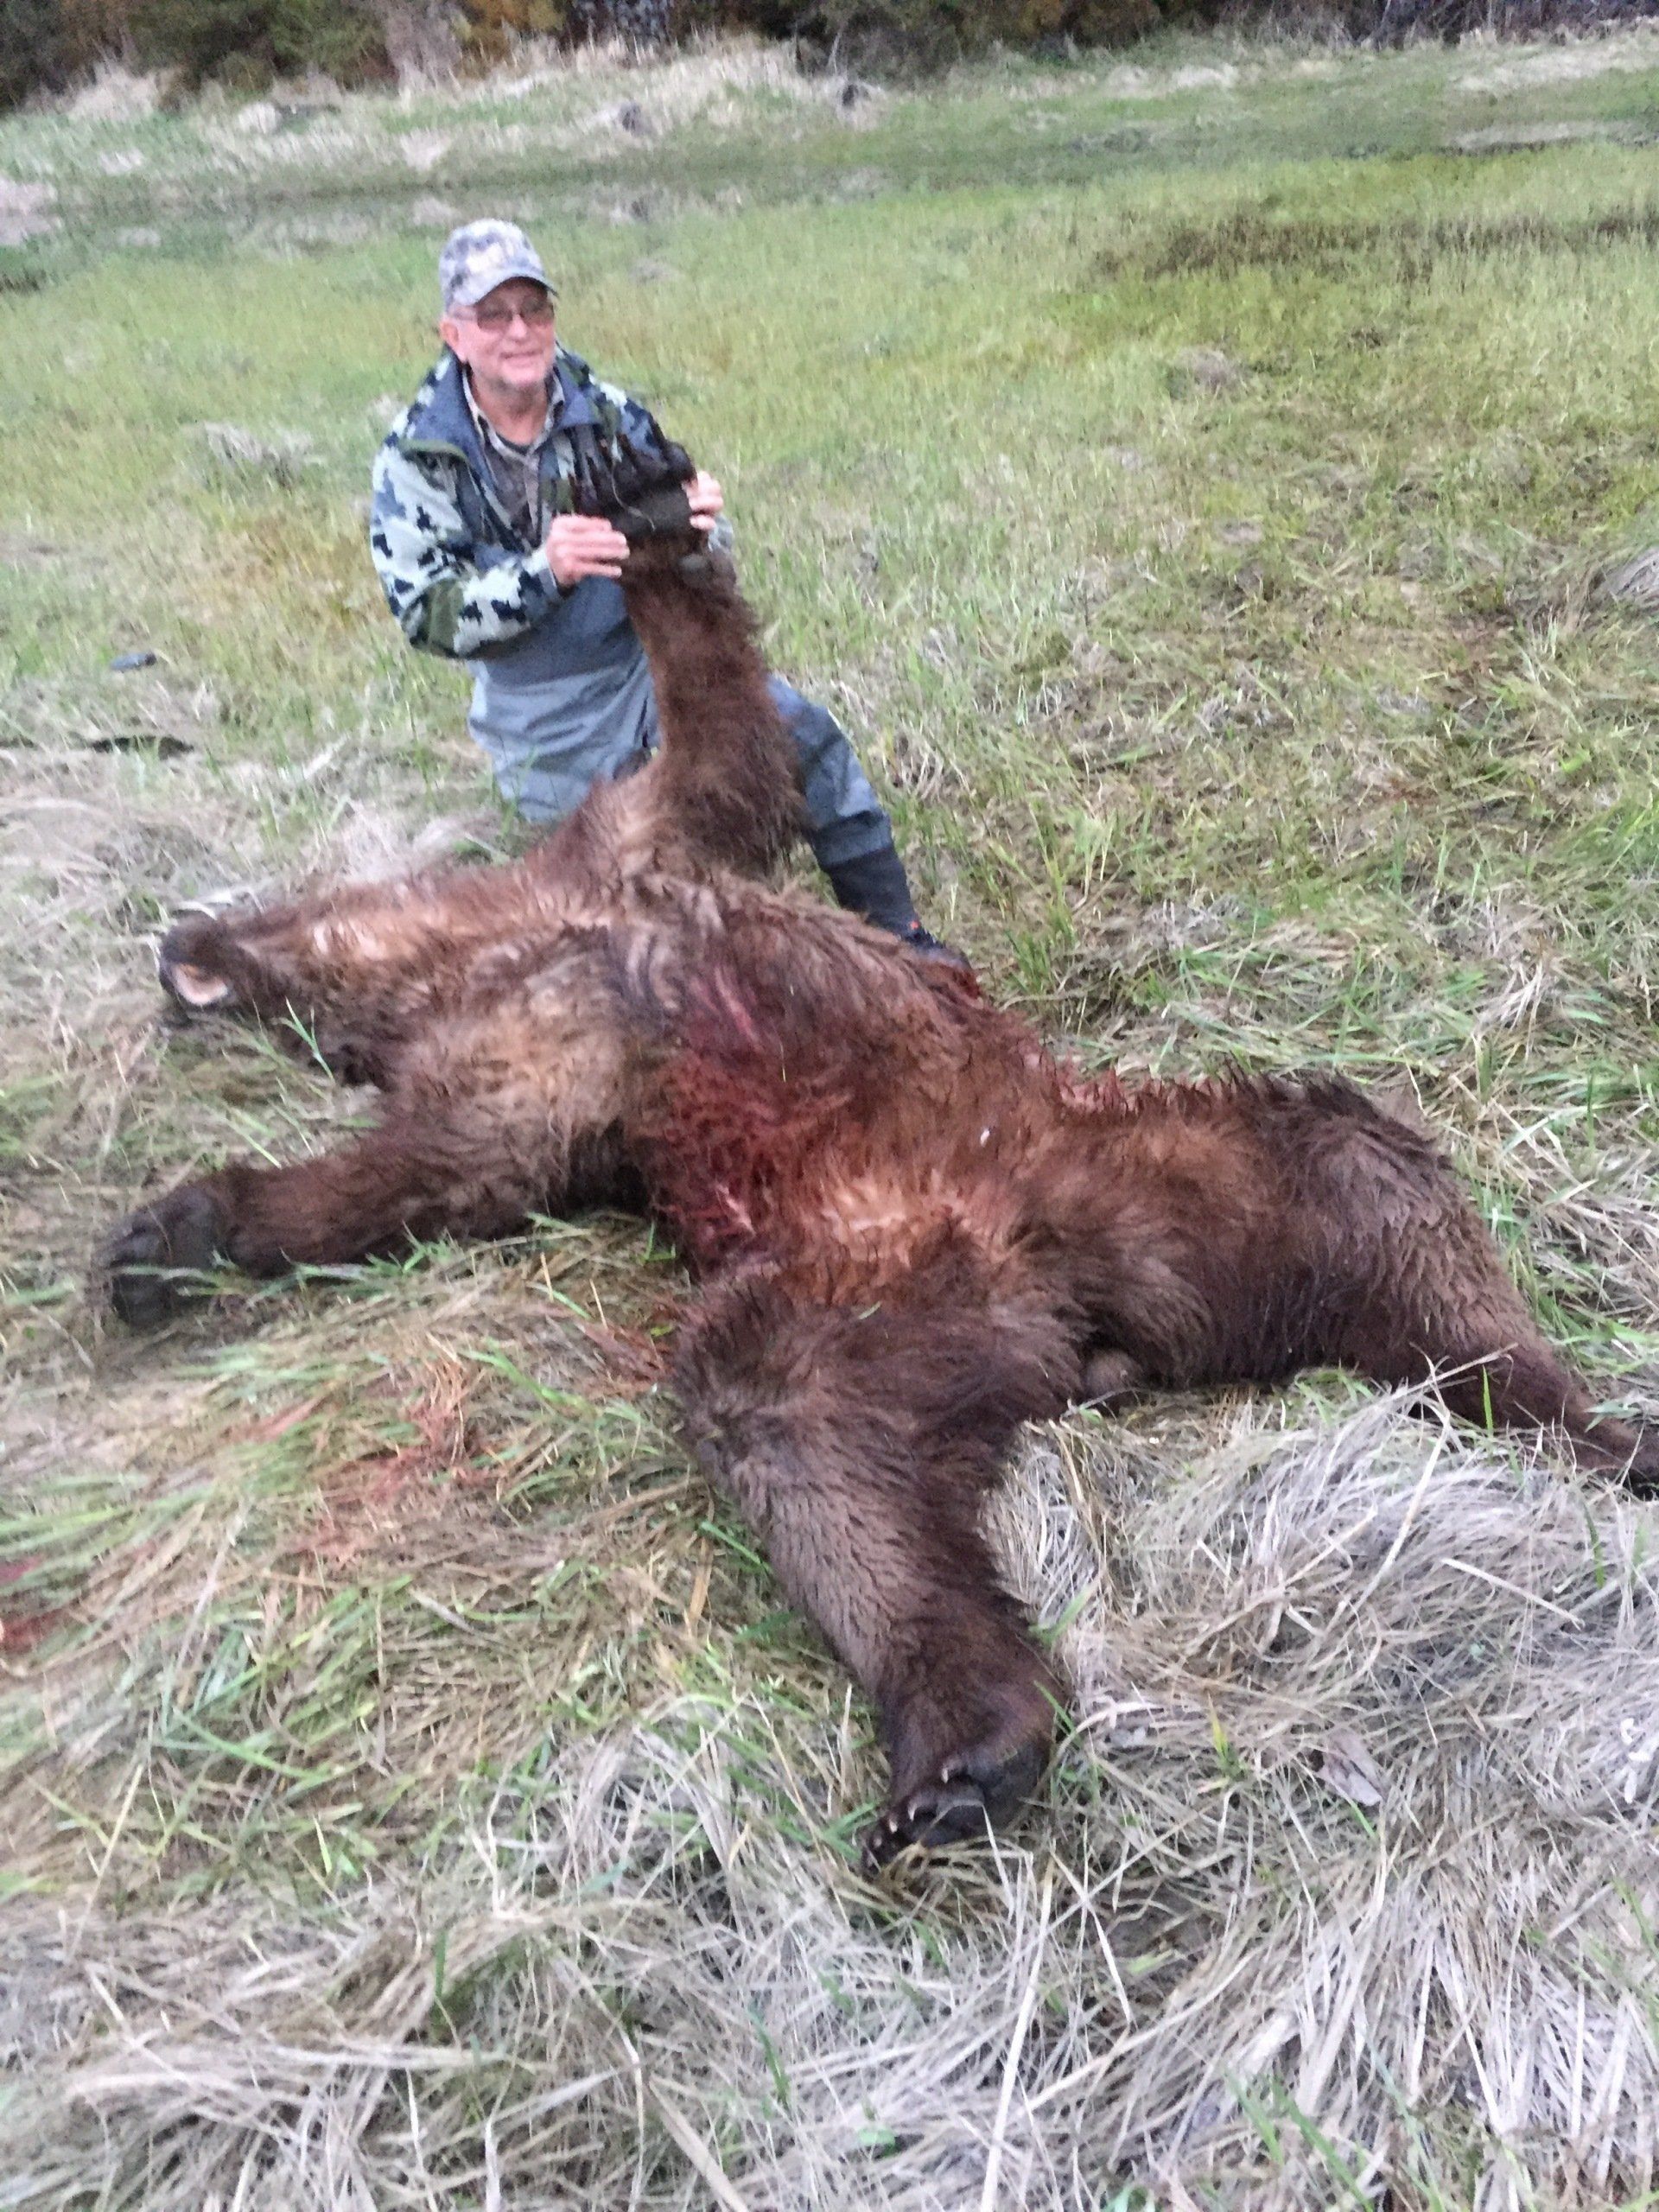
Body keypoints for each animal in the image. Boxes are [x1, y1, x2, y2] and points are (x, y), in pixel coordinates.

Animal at [100, 433, 1657, 1870]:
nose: (183, 946)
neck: (524, 933)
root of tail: (1089, 1320)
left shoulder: (636, 867)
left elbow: (723, 731)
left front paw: (646, 501)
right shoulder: (538, 1055)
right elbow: (425, 1170)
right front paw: (181, 1226)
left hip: (1136, 1160)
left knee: (1374, 1188)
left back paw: (1587, 1423)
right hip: (909, 1278)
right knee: (803, 1423)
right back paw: (967, 1734)